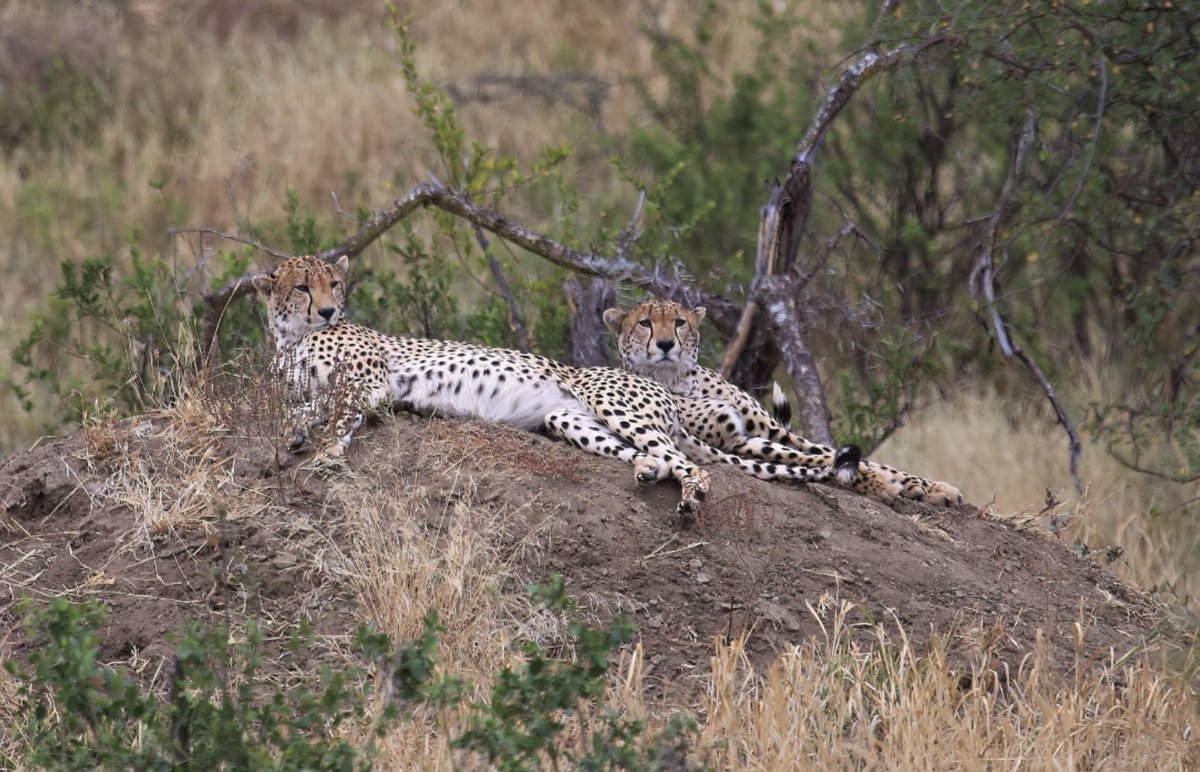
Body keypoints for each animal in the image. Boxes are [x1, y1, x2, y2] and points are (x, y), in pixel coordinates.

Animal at [250, 258, 864, 518]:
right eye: (302, 286)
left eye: (333, 283)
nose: (329, 309)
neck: (290, 336)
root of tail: (665, 392)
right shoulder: (324, 386)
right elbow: (303, 407)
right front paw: (296, 438)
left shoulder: (368, 380)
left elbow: (337, 414)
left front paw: (326, 453)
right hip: (566, 418)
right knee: (652, 457)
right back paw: (646, 472)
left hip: (615, 403)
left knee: (692, 465)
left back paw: (691, 496)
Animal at [604, 297, 960, 506]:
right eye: (644, 323)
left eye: (679, 322)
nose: (665, 344)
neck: (678, 377)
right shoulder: (739, 442)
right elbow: (823, 461)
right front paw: (879, 484)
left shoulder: (771, 431)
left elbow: (843, 455)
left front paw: (932, 487)